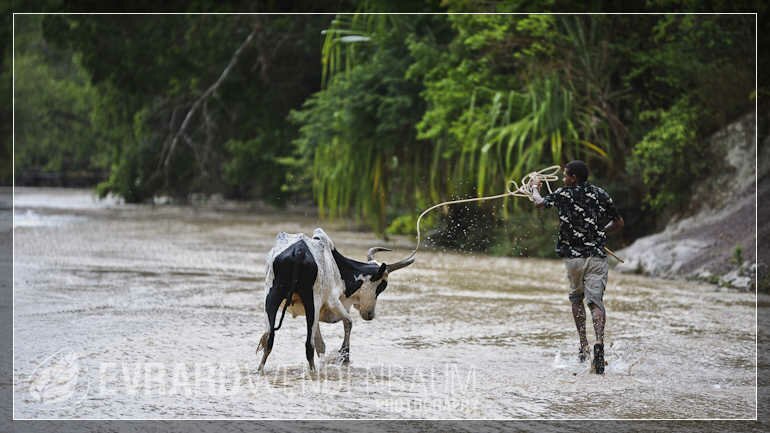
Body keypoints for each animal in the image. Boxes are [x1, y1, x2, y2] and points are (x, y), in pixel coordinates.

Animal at [256, 226, 414, 372]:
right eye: (382, 286)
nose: (370, 314)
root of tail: (299, 251)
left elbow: (321, 344)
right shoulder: (332, 302)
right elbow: (348, 322)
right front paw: (344, 356)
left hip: (272, 298)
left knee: (270, 339)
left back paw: (260, 370)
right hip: (312, 301)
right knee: (308, 346)